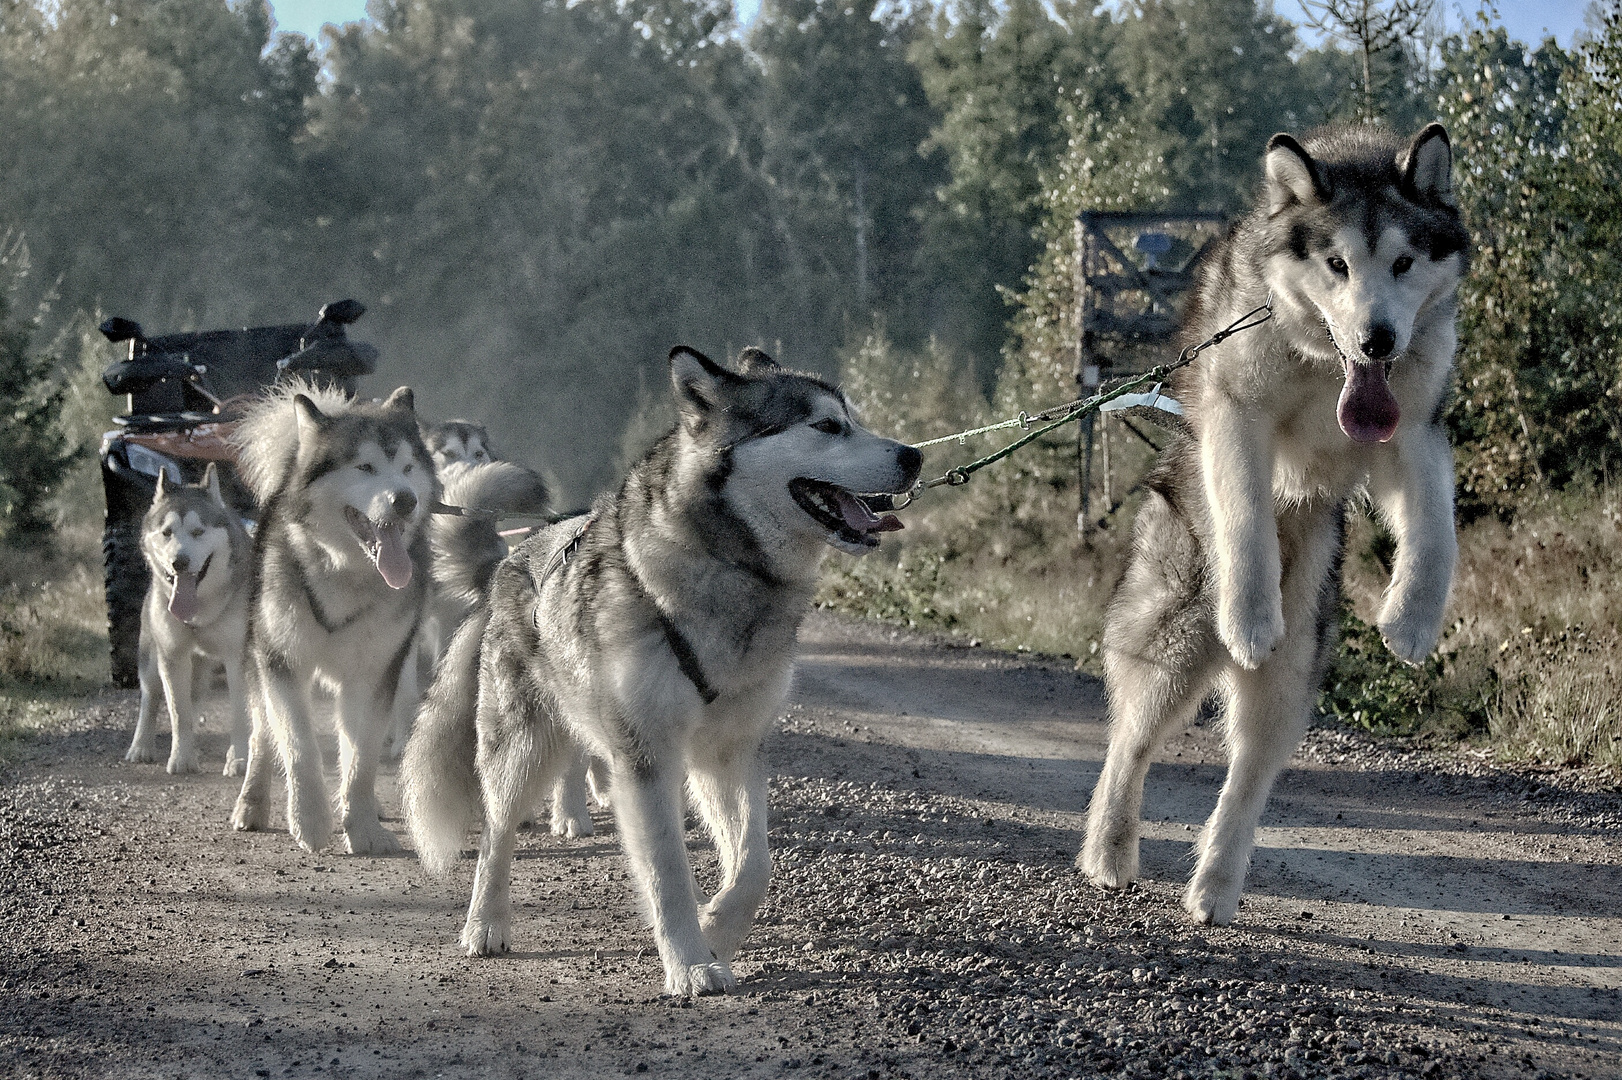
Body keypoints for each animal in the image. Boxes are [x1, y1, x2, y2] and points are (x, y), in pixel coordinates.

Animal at [128, 463, 253, 775]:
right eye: (167, 532)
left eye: (198, 532)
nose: (179, 562)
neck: (201, 610)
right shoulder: (173, 655)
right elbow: (178, 712)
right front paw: (182, 758)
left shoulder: (238, 657)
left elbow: (240, 714)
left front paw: (239, 759)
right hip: (152, 659)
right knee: (151, 698)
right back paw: (141, 747)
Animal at [402, 345, 927, 992]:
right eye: (828, 426)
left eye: (854, 417)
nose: (915, 456)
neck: (730, 571)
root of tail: (513, 555)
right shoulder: (647, 756)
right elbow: (666, 871)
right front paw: (689, 963)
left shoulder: (730, 753)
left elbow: (754, 863)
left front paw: (718, 930)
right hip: (521, 749)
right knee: (496, 837)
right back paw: (485, 923)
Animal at [1077, 121, 1472, 921]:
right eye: (1336, 264)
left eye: (1403, 262)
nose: (1378, 339)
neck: (1325, 368)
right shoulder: (1239, 415)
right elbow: (1248, 519)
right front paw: (1250, 616)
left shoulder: (1414, 432)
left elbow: (1435, 531)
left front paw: (1412, 620)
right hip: (1172, 640)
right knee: (1129, 746)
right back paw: (1108, 854)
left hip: (1293, 676)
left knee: (1248, 772)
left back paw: (1215, 884)